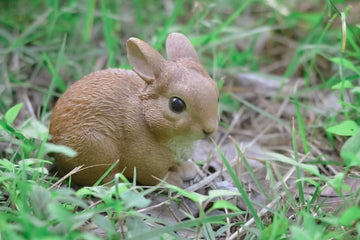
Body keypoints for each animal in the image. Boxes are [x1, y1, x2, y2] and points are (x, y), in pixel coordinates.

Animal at [49, 32, 219, 186]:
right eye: (176, 105)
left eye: (217, 96)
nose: (209, 129)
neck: (147, 117)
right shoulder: (145, 165)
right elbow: (155, 177)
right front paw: (173, 181)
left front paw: (188, 169)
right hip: (96, 148)